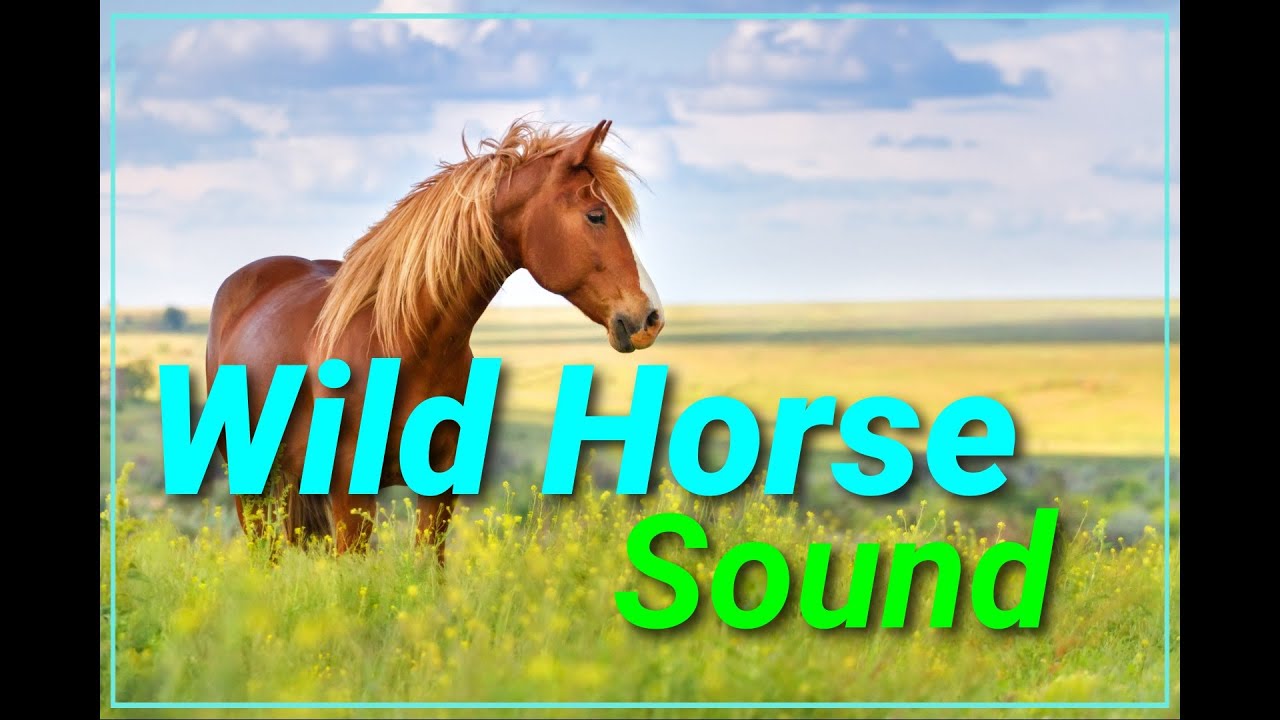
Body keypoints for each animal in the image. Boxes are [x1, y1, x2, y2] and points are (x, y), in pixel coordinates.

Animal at [205, 119, 664, 560]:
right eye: (596, 215)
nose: (651, 317)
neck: (402, 344)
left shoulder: (440, 485)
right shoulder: (350, 492)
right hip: (252, 488)